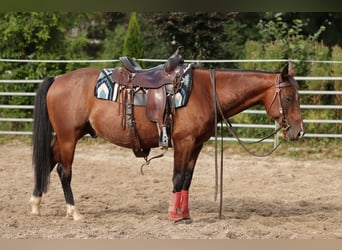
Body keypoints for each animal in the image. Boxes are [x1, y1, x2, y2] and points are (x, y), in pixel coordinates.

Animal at [28, 61, 304, 222]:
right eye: (289, 97)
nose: (299, 132)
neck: (205, 91)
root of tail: (58, 79)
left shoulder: (197, 144)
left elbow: (187, 179)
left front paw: (186, 214)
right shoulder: (183, 142)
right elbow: (178, 177)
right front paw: (174, 215)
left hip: (66, 137)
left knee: (48, 162)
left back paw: (36, 204)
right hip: (68, 137)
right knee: (64, 171)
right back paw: (73, 211)